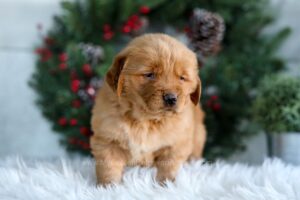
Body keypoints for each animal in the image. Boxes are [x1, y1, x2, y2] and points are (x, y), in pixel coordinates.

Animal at [89, 33, 206, 185]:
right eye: (149, 74)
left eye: (182, 78)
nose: (171, 98)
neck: (145, 120)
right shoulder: (108, 140)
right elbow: (108, 167)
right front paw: (108, 186)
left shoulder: (176, 143)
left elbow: (168, 167)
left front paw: (166, 184)